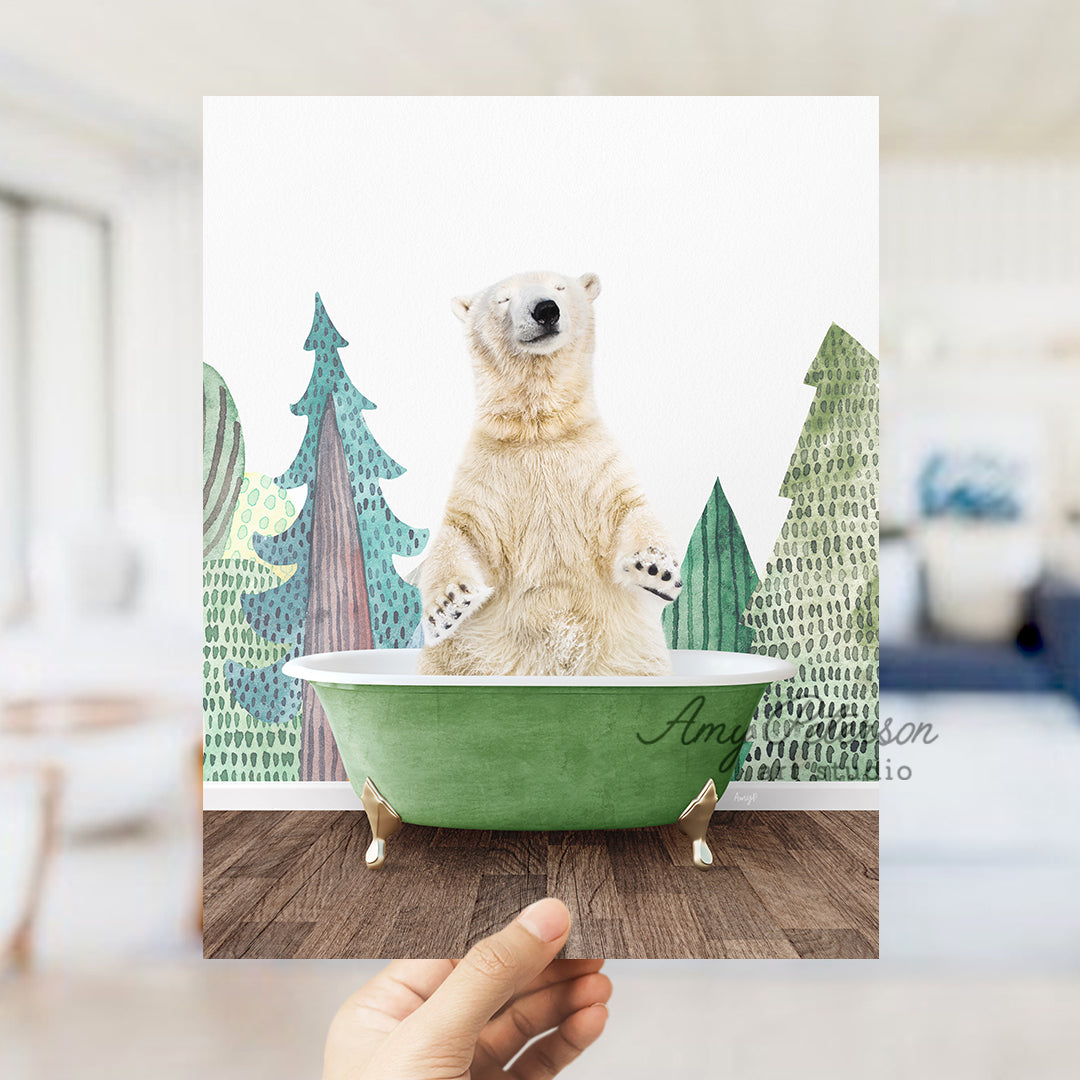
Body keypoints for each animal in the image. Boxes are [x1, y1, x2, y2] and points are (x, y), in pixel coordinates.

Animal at [414, 270, 678, 673]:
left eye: (560, 288)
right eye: (503, 299)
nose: (545, 310)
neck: (538, 426)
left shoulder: (593, 459)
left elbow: (629, 510)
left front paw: (654, 567)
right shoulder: (489, 473)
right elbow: (461, 533)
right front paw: (449, 605)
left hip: (634, 658)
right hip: (456, 660)